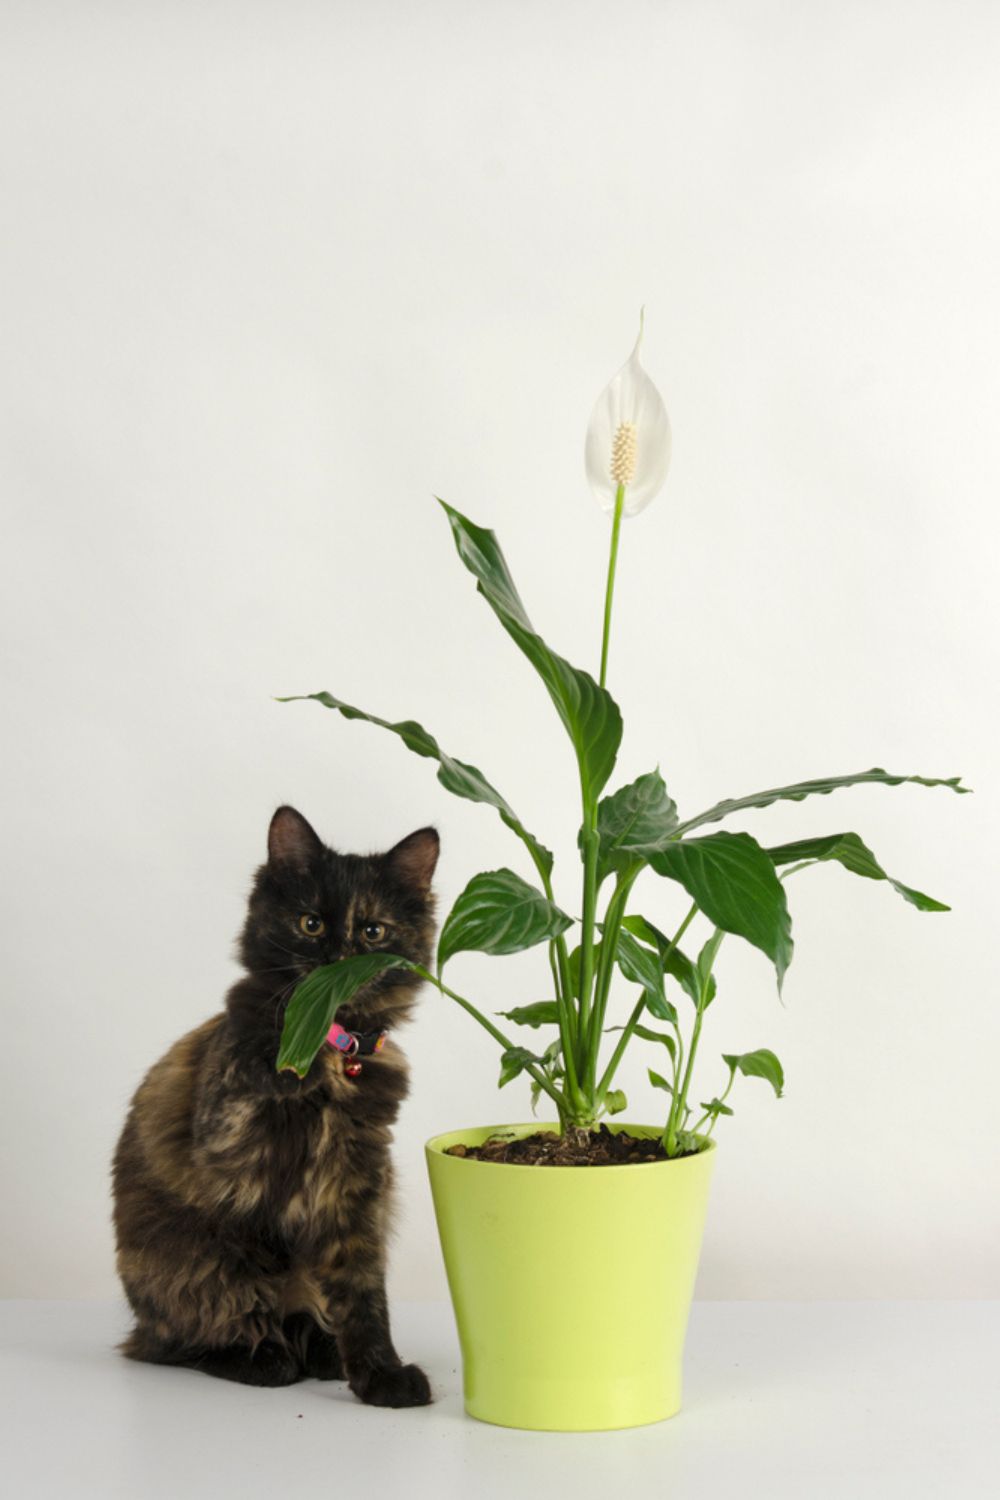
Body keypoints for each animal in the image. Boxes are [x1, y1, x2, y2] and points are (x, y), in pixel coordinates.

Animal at [110, 804, 437, 1398]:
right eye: (311, 924)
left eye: (372, 930)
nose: (337, 958)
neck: (327, 1043)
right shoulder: (231, 1154)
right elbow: (255, 1281)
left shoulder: (358, 1184)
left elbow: (362, 1292)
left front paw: (380, 1374)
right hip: (186, 1265)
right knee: (187, 1337)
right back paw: (262, 1357)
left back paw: (323, 1353)